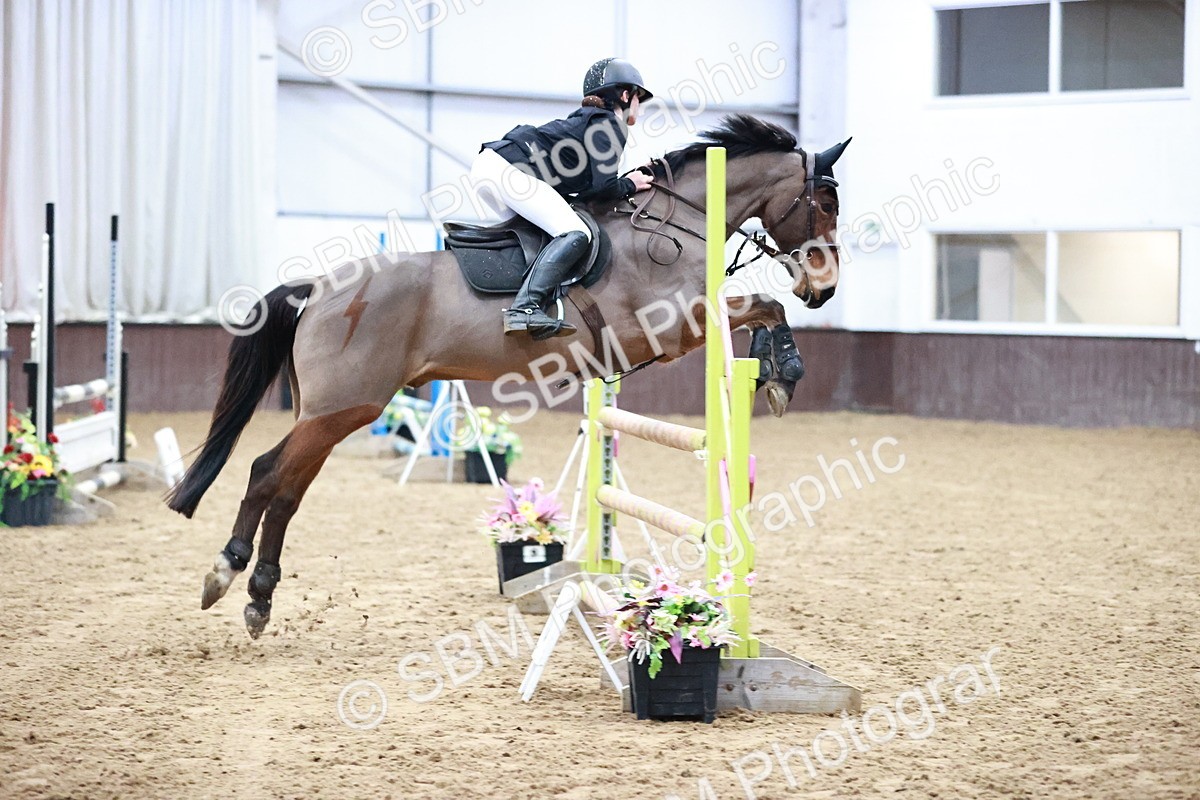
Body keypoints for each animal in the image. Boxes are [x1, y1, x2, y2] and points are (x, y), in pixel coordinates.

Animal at [166, 114, 848, 638]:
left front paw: (777, 373)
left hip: (334, 413)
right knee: (267, 474)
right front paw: (784, 374)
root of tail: (319, 288)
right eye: (824, 203)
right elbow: (764, 304)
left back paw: (258, 596)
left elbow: (764, 307)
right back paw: (226, 575)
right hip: (344, 408)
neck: (673, 226)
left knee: (285, 488)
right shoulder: (677, 326)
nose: (825, 288)